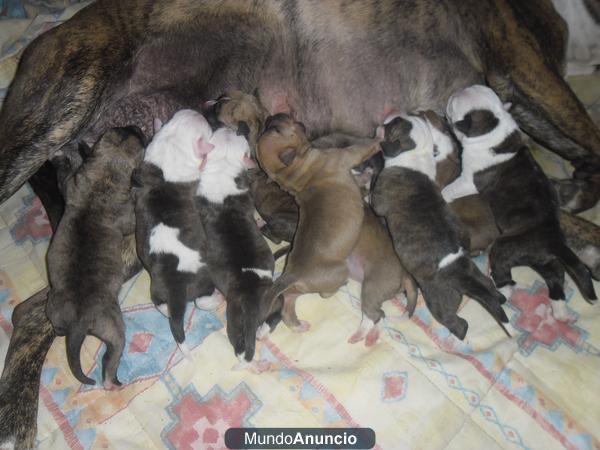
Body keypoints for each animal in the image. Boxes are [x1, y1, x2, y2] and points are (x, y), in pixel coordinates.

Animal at [45, 126, 144, 386]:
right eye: (142, 141)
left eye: (117, 130)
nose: (136, 127)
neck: (104, 177)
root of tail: (78, 323)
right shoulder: (128, 215)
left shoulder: (70, 184)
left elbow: (62, 175)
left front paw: (59, 158)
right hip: (113, 328)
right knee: (112, 356)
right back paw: (112, 382)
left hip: (54, 308)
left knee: (57, 325)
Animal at [132, 110, 217, 356]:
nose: (196, 111)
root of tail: (175, 288)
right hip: (204, 282)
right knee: (202, 301)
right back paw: (217, 301)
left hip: (157, 290)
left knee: (163, 307)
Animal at [253, 111, 412, 342]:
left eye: (272, 128)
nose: (272, 116)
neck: (293, 172)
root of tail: (293, 273)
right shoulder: (349, 155)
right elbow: (368, 146)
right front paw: (381, 134)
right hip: (339, 273)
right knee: (333, 296)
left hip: (300, 287)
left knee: (289, 303)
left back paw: (298, 326)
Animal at [372, 114, 508, 340]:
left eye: (393, 124)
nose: (384, 119)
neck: (415, 156)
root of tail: (461, 272)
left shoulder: (379, 200)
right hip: (479, 277)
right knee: (490, 288)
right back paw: (499, 297)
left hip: (438, 301)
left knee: (459, 325)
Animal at [440, 84, 596, 322]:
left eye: (454, 103)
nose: (456, 91)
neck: (495, 129)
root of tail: (554, 241)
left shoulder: (469, 180)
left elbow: (451, 189)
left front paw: (442, 194)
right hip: (545, 261)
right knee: (556, 277)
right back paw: (559, 311)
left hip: (505, 248)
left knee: (508, 279)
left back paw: (499, 287)